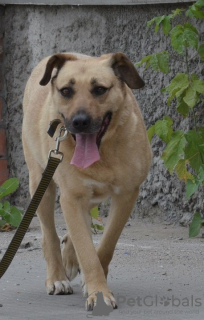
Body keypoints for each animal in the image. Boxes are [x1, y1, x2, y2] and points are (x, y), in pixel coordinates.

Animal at [22, 52, 152, 310]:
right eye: (66, 91)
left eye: (100, 89)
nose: (79, 121)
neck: (104, 153)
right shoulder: (72, 198)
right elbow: (86, 250)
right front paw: (99, 291)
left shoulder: (126, 194)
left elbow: (106, 243)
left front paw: (92, 282)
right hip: (41, 183)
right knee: (49, 235)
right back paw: (57, 276)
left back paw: (70, 258)